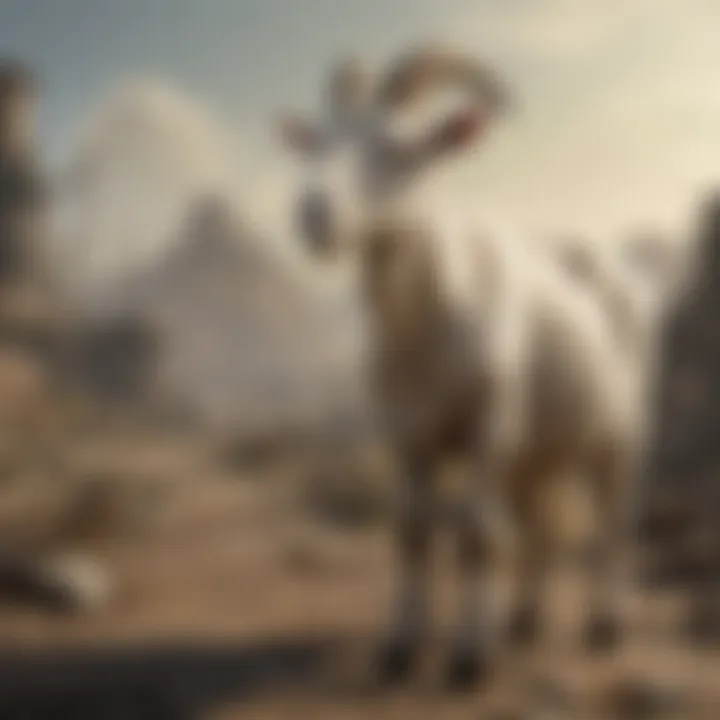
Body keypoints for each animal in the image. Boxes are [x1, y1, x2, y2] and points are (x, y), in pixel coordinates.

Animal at [276, 47, 648, 688]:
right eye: (318, 141)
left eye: (400, 147)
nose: (313, 213)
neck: (431, 323)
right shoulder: (407, 436)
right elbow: (411, 533)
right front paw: (400, 649)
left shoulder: (487, 430)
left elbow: (476, 536)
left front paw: (470, 658)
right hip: (538, 451)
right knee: (541, 525)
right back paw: (524, 620)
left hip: (613, 438)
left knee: (609, 523)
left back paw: (605, 626)